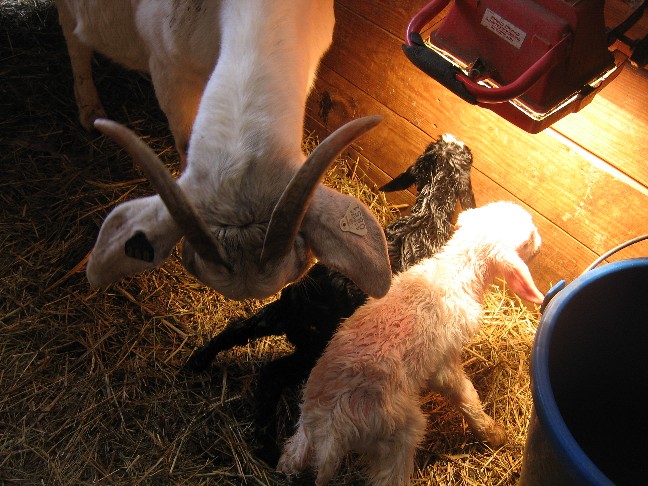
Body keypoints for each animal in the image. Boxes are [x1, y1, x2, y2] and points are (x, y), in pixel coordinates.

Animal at [276, 201, 544, 486]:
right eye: (528, 238)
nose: (540, 242)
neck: (454, 271)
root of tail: (332, 429)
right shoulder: (445, 358)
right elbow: (465, 393)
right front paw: (492, 432)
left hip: (308, 422)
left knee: (293, 453)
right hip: (398, 434)